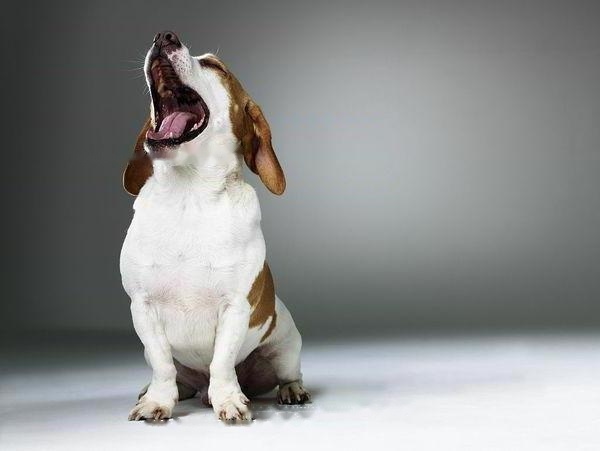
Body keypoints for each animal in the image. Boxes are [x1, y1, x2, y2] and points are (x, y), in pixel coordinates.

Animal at [120, 31, 312, 424]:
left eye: (214, 65)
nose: (164, 36)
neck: (188, 195)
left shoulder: (235, 307)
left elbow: (222, 362)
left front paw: (228, 400)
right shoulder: (142, 307)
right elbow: (163, 364)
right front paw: (158, 400)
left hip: (286, 345)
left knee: (287, 372)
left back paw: (290, 390)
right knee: (178, 376)